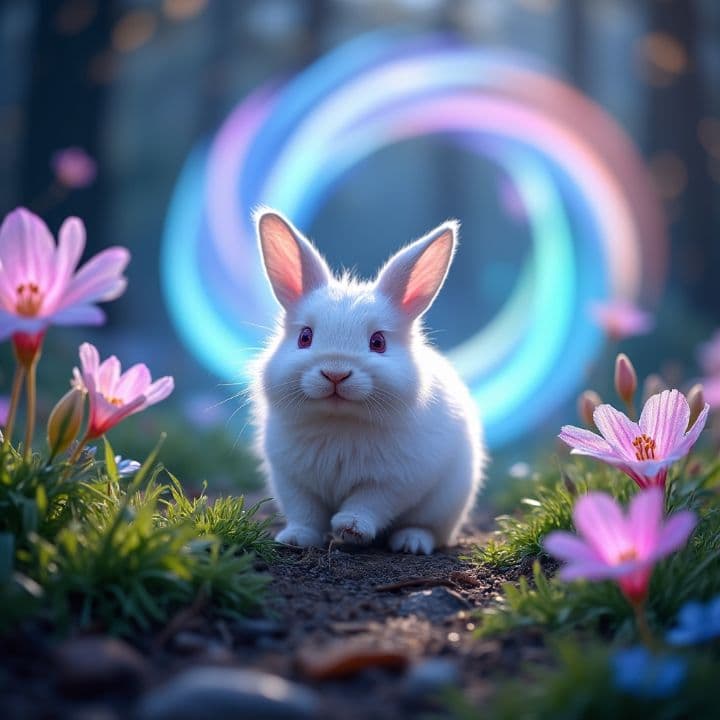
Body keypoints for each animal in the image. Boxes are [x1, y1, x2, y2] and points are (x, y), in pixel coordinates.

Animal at [250, 209, 486, 554]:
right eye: (305, 337)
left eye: (378, 342)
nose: (335, 373)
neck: (339, 421)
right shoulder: (293, 481)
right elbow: (305, 513)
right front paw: (295, 540)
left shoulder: (394, 481)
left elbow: (368, 504)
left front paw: (350, 528)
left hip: (444, 506)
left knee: (428, 528)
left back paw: (411, 543)